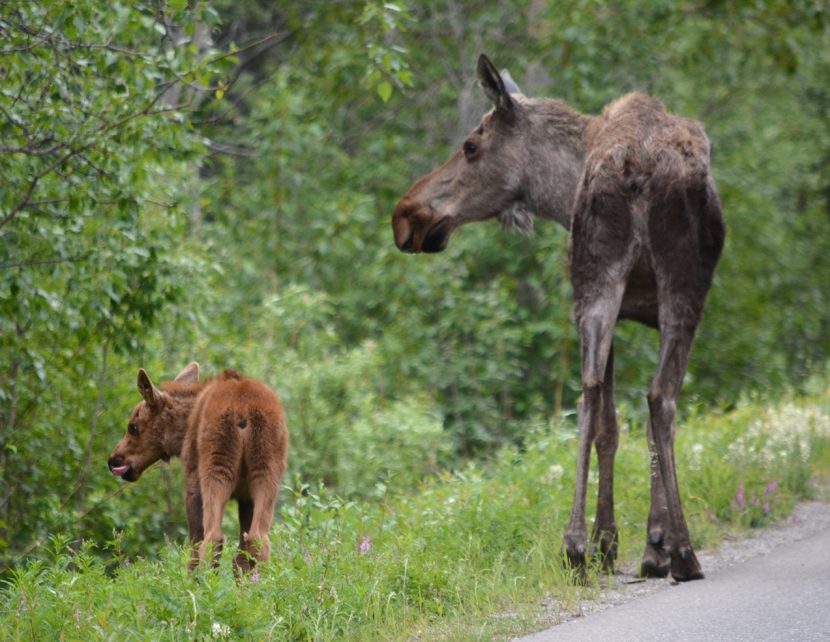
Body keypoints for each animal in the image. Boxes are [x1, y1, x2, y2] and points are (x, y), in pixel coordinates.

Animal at [394, 52, 724, 576]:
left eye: (470, 145)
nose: (405, 215)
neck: (563, 188)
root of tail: (638, 169)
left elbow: (610, 423)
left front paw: (619, 541)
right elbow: (627, 423)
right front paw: (645, 543)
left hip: (596, 286)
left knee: (593, 394)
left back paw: (575, 544)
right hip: (678, 287)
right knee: (661, 397)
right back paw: (681, 552)